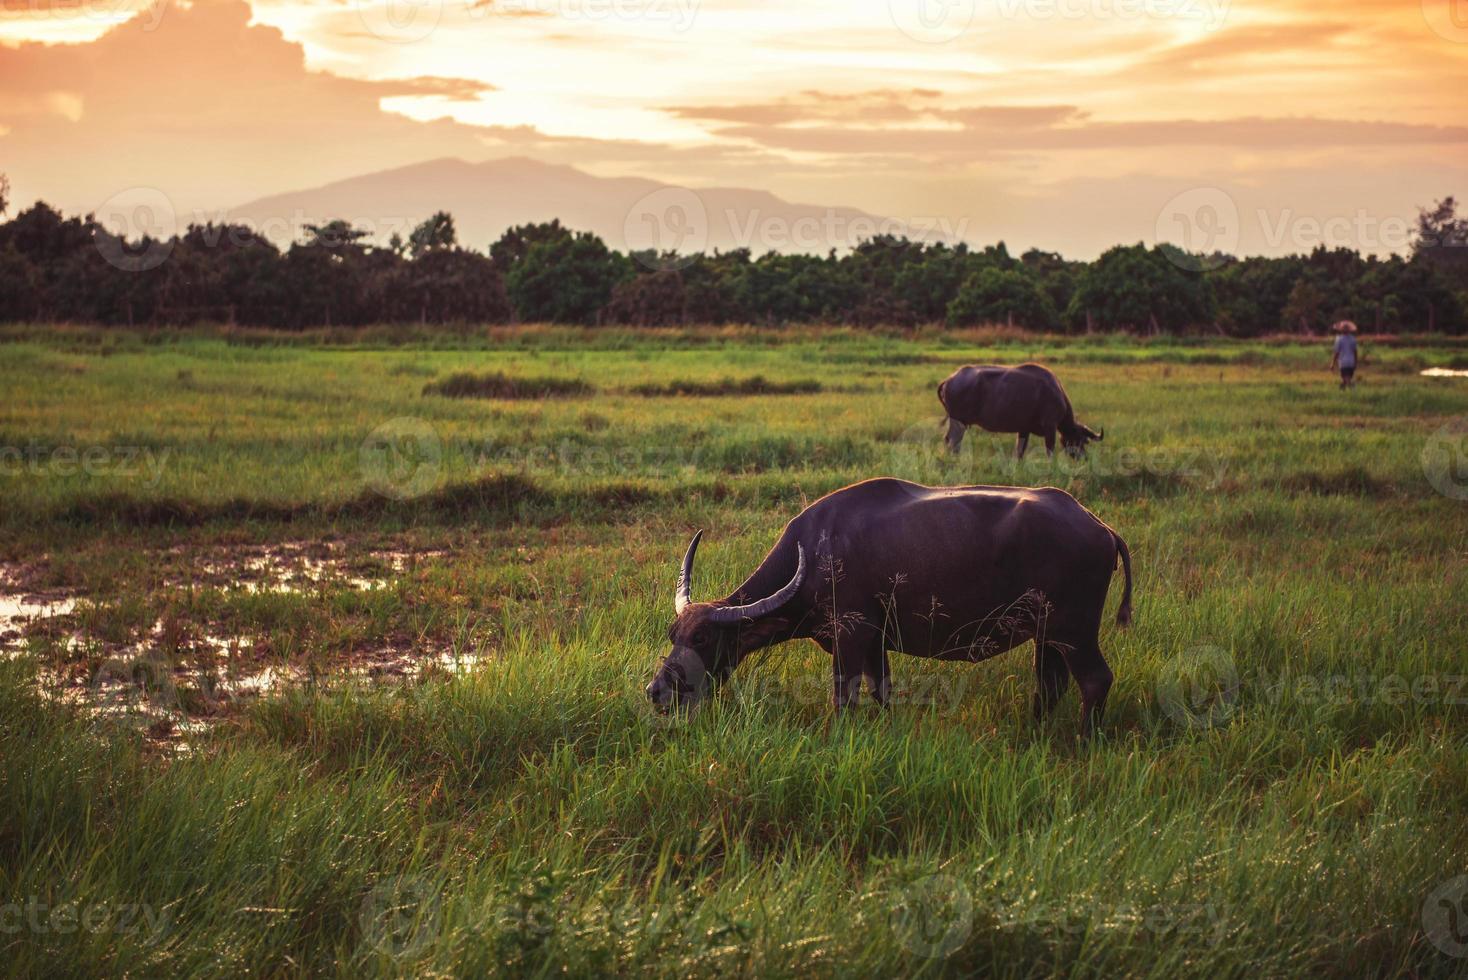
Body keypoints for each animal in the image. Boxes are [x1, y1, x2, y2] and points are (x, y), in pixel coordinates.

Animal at [645, 478, 1133, 730]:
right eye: (674, 634)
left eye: (703, 638)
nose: (657, 691)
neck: (818, 552)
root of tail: (1101, 527)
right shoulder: (876, 644)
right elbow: (882, 692)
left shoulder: (851, 638)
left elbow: (844, 698)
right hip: (1048, 636)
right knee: (1049, 686)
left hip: (1074, 631)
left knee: (1095, 681)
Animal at [939, 363, 1103, 460]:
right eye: (1082, 440)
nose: (1084, 458)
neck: (1056, 392)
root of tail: (950, 379)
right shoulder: (1050, 427)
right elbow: (1050, 451)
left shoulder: (1024, 430)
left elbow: (1020, 452)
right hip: (959, 422)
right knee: (953, 442)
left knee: (949, 440)